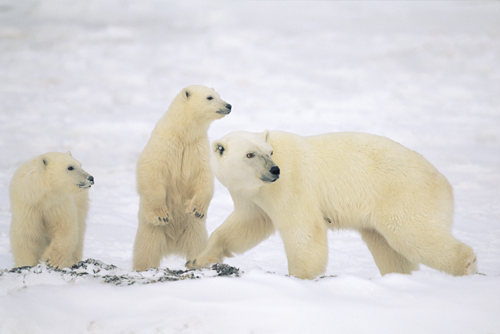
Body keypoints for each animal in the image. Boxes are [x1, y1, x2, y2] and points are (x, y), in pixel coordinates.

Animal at [134, 84, 233, 272]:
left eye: (219, 95)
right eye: (210, 97)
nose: (229, 105)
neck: (183, 134)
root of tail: (173, 245)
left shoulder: (198, 149)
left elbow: (203, 178)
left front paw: (198, 210)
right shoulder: (163, 145)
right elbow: (152, 171)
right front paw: (162, 215)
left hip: (195, 231)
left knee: (197, 247)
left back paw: (196, 263)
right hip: (151, 232)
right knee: (146, 252)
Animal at [188, 130, 476, 280]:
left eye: (269, 153)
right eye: (250, 154)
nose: (274, 170)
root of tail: (444, 182)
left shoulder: (290, 184)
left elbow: (304, 229)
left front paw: (299, 277)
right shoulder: (253, 197)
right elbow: (245, 225)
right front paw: (197, 258)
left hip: (405, 196)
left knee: (413, 234)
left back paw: (467, 266)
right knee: (389, 250)